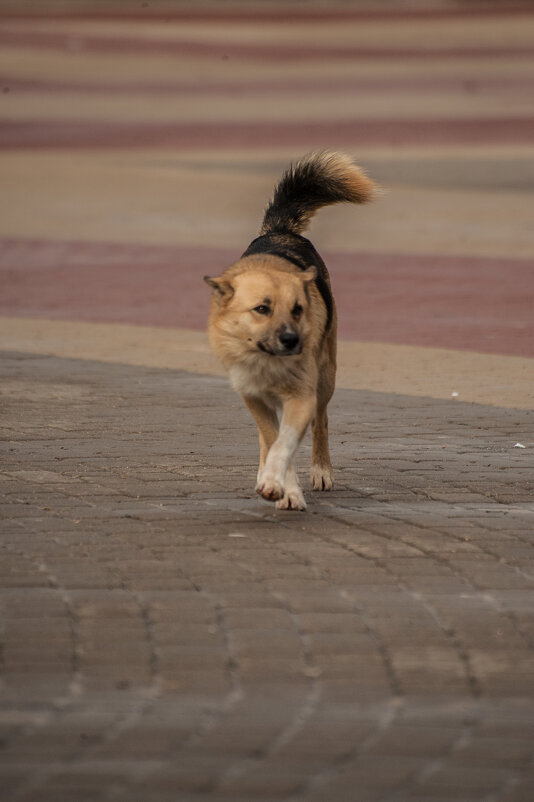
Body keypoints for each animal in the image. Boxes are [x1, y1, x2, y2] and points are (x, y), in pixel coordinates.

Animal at [205, 152, 376, 506]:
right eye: (261, 309)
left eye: (298, 309)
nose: (291, 340)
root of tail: (280, 230)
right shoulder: (252, 395)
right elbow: (272, 440)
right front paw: (278, 484)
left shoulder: (302, 395)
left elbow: (286, 442)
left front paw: (285, 488)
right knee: (267, 436)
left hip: (326, 376)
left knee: (321, 422)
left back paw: (321, 472)